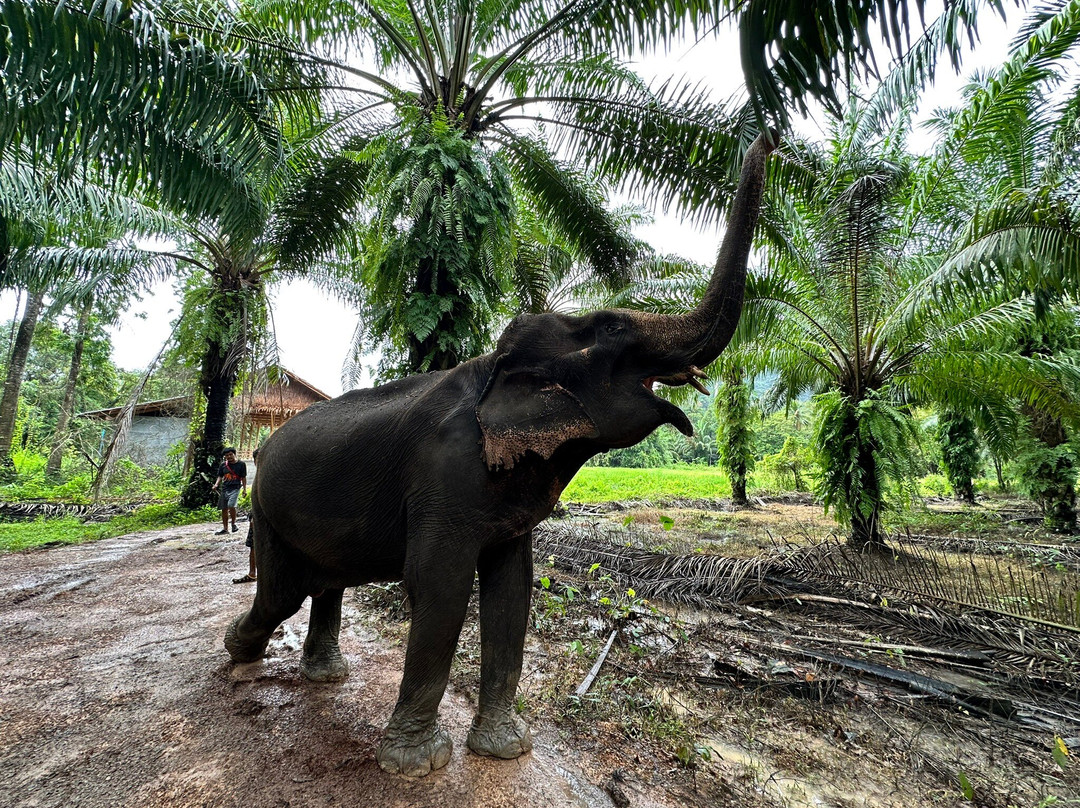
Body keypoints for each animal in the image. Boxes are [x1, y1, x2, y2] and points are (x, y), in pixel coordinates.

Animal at [224, 130, 775, 777]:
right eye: (613, 329)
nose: (768, 135)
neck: (493, 364)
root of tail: (261, 447)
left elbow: (513, 590)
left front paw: (505, 749)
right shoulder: (446, 475)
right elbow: (439, 587)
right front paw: (416, 763)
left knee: (323, 584)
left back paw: (325, 675)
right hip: (265, 507)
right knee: (282, 592)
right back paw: (236, 651)